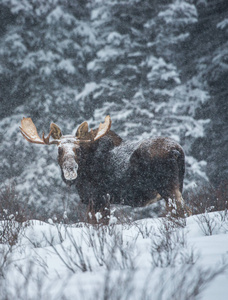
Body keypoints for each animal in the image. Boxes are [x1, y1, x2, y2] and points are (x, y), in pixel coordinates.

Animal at [20, 116, 189, 224]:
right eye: (59, 149)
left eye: (78, 149)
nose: (70, 168)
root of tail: (177, 151)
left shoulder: (99, 197)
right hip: (177, 187)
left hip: (168, 188)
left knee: (182, 211)